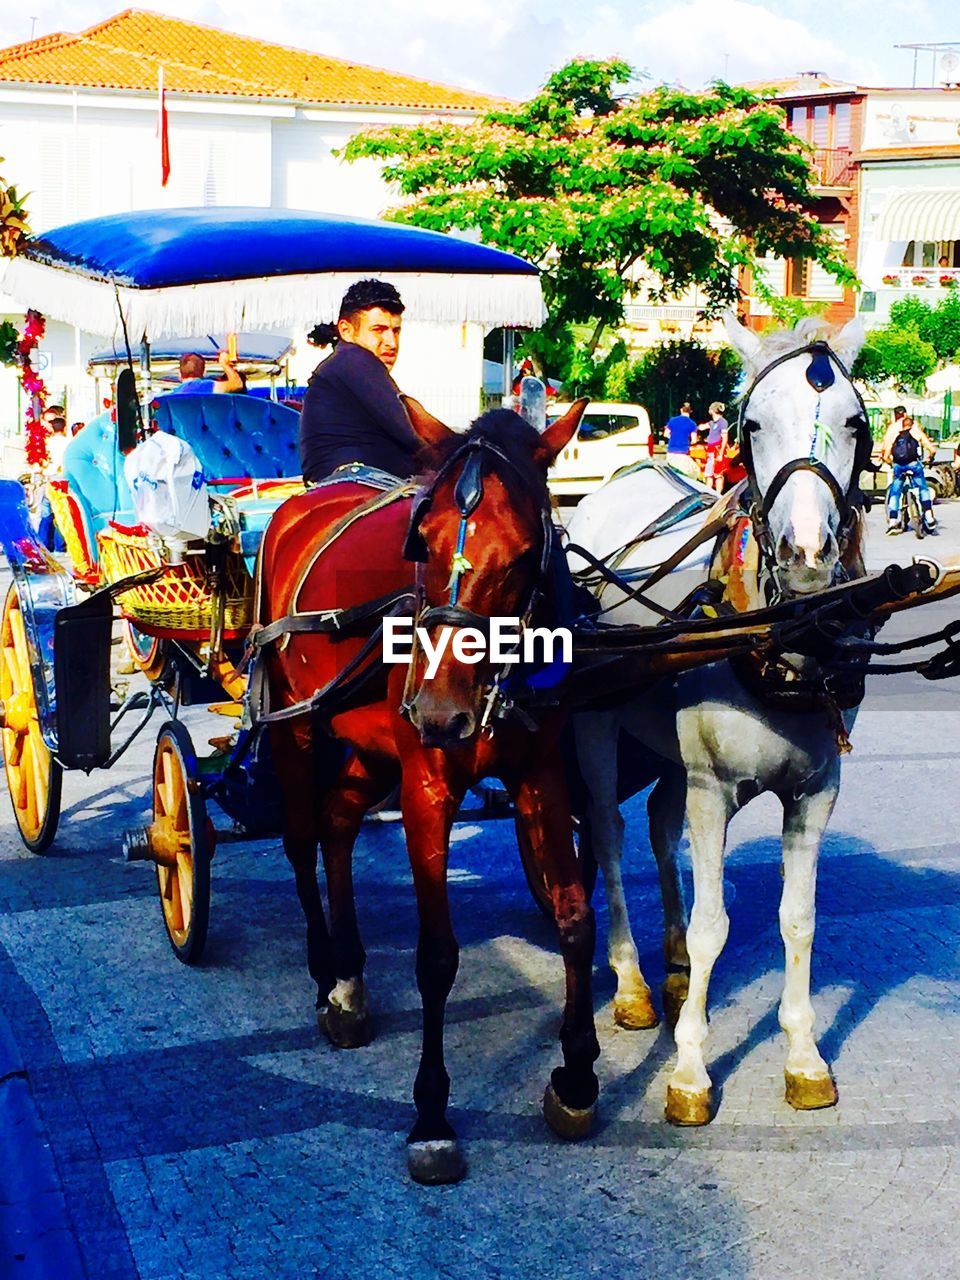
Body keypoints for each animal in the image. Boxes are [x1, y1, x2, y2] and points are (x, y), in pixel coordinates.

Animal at [259, 404, 599, 1182]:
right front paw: (433, 1114)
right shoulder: (426, 784)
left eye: (524, 553)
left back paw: (350, 978)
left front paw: (575, 1076)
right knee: (300, 835)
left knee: (336, 821)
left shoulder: (541, 776)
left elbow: (575, 919)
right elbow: (438, 956)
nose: (440, 714)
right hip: (298, 722)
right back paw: (324, 969)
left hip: (369, 747)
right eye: (425, 542)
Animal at [568, 314, 875, 1126]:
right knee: (609, 837)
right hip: (595, 727)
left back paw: (671, 961)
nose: (807, 552)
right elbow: (717, 926)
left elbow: (798, 920)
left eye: (855, 422)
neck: (779, 637)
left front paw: (803, 1055)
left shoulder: (816, 792)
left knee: (658, 829)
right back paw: (634, 982)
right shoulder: (713, 789)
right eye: (753, 424)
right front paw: (689, 1069)